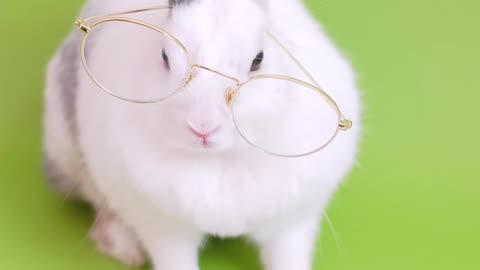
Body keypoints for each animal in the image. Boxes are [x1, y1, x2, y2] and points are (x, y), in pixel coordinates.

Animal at [44, 0, 360, 270]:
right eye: (164, 57)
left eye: (258, 60)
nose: (202, 127)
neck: (217, 161)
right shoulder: (164, 229)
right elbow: (174, 259)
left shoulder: (292, 224)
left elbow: (288, 257)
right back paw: (126, 250)